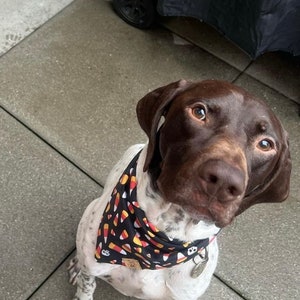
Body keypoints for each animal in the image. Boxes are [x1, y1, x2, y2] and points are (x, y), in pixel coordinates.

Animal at [68, 78, 290, 298]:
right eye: (199, 112)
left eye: (265, 144)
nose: (223, 180)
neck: (162, 238)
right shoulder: (91, 269)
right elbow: (86, 287)